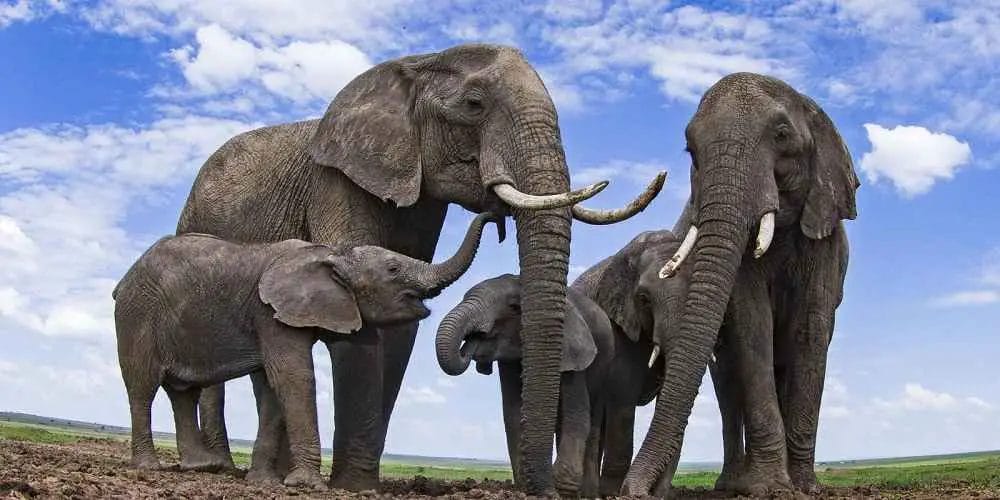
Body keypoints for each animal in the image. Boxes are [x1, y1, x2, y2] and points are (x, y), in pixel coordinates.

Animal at [113, 213, 496, 488]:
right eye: (393, 269)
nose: (494, 217)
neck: (332, 255)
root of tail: (125, 279)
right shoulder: (268, 312)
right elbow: (294, 377)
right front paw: (306, 485)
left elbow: (273, 387)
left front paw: (265, 483)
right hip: (136, 315)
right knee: (142, 387)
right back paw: (148, 466)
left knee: (184, 392)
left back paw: (200, 467)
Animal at [435, 274, 614, 497]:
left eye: (514, 307)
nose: (472, 341)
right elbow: (513, 414)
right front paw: (525, 486)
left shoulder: (573, 349)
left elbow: (577, 415)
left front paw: (561, 488)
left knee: (593, 418)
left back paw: (588, 494)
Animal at [622, 72, 859, 496]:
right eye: (691, 150)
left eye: (782, 135)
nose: (632, 492)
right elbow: (752, 326)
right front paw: (769, 488)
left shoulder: (826, 236)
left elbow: (810, 331)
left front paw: (805, 488)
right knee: (728, 388)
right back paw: (732, 484)